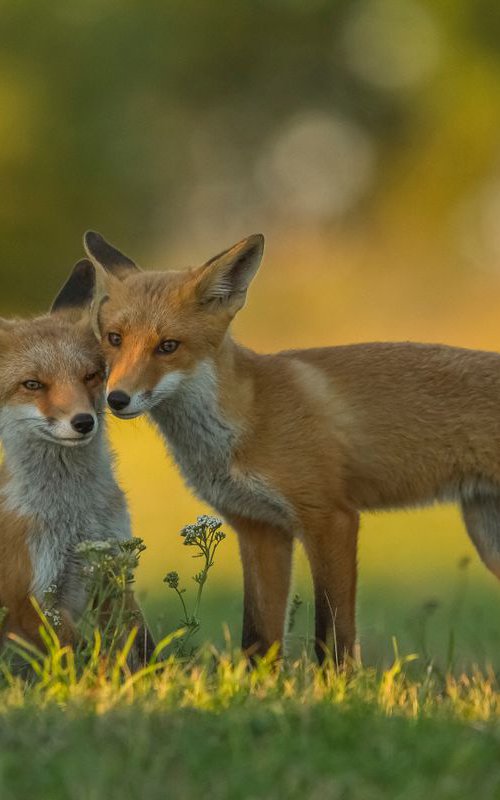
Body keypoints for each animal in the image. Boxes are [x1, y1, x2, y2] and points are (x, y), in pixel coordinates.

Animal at [0, 260, 153, 660]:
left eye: (91, 375)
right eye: (33, 384)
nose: (83, 422)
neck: (75, 513)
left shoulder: (112, 567)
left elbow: (139, 642)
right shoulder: (32, 599)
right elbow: (81, 653)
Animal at [79, 230, 500, 664]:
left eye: (168, 346)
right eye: (114, 339)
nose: (116, 399)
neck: (245, 419)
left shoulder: (330, 519)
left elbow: (332, 635)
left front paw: (337, 682)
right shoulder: (259, 528)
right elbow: (257, 636)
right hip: (488, 537)